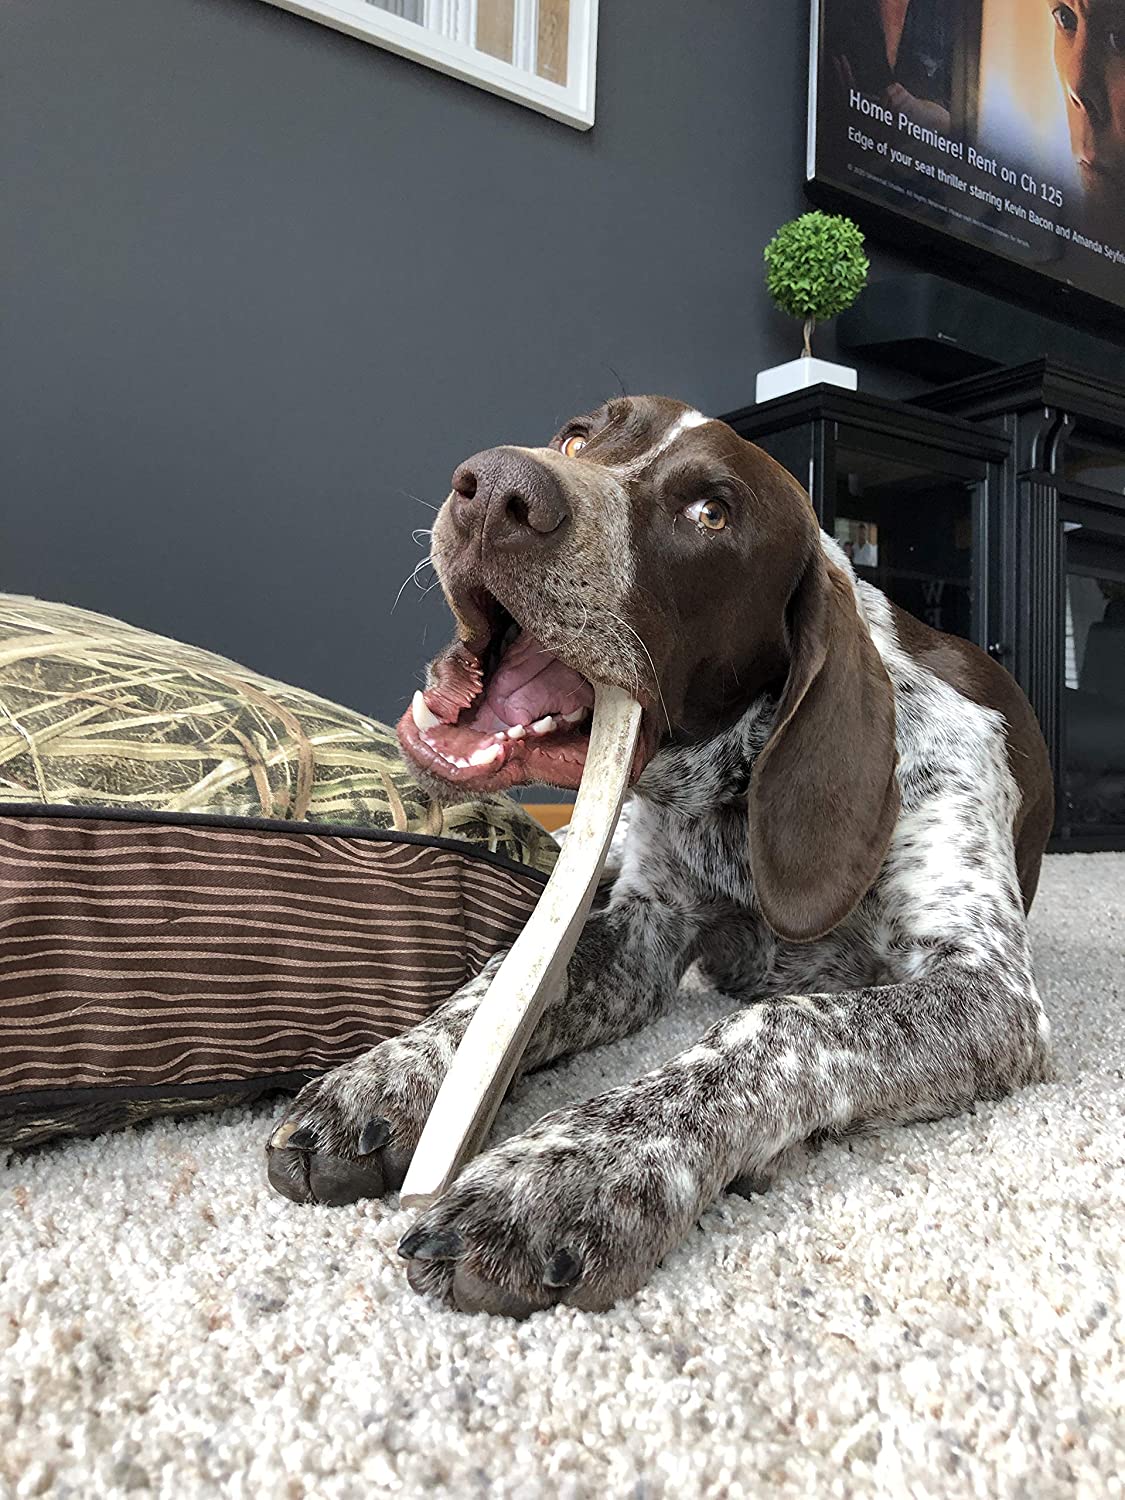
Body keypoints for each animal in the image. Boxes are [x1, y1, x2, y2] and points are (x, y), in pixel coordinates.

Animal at [268, 396, 1062, 1314]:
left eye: (710, 515)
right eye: (577, 437)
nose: (495, 486)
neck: (732, 789)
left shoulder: (988, 992)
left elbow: (781, 1023)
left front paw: (567, 1175)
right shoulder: (642, 931)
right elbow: (504, 986)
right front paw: (386, 1077)